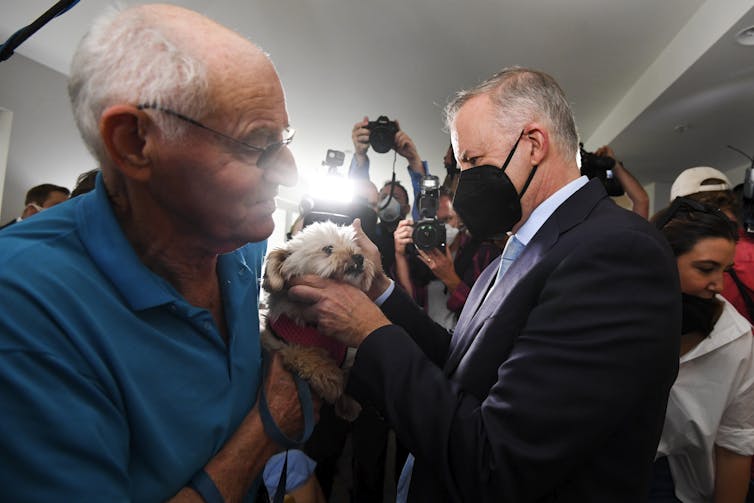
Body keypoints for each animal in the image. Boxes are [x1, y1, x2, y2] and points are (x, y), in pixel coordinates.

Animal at [260, 221, 374, 422]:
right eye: (328, 249)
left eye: (355, 247)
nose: (360, 257)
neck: (314, 326)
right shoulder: (279, 343)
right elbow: (308, 353)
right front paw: (331, 378)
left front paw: (348, 403)